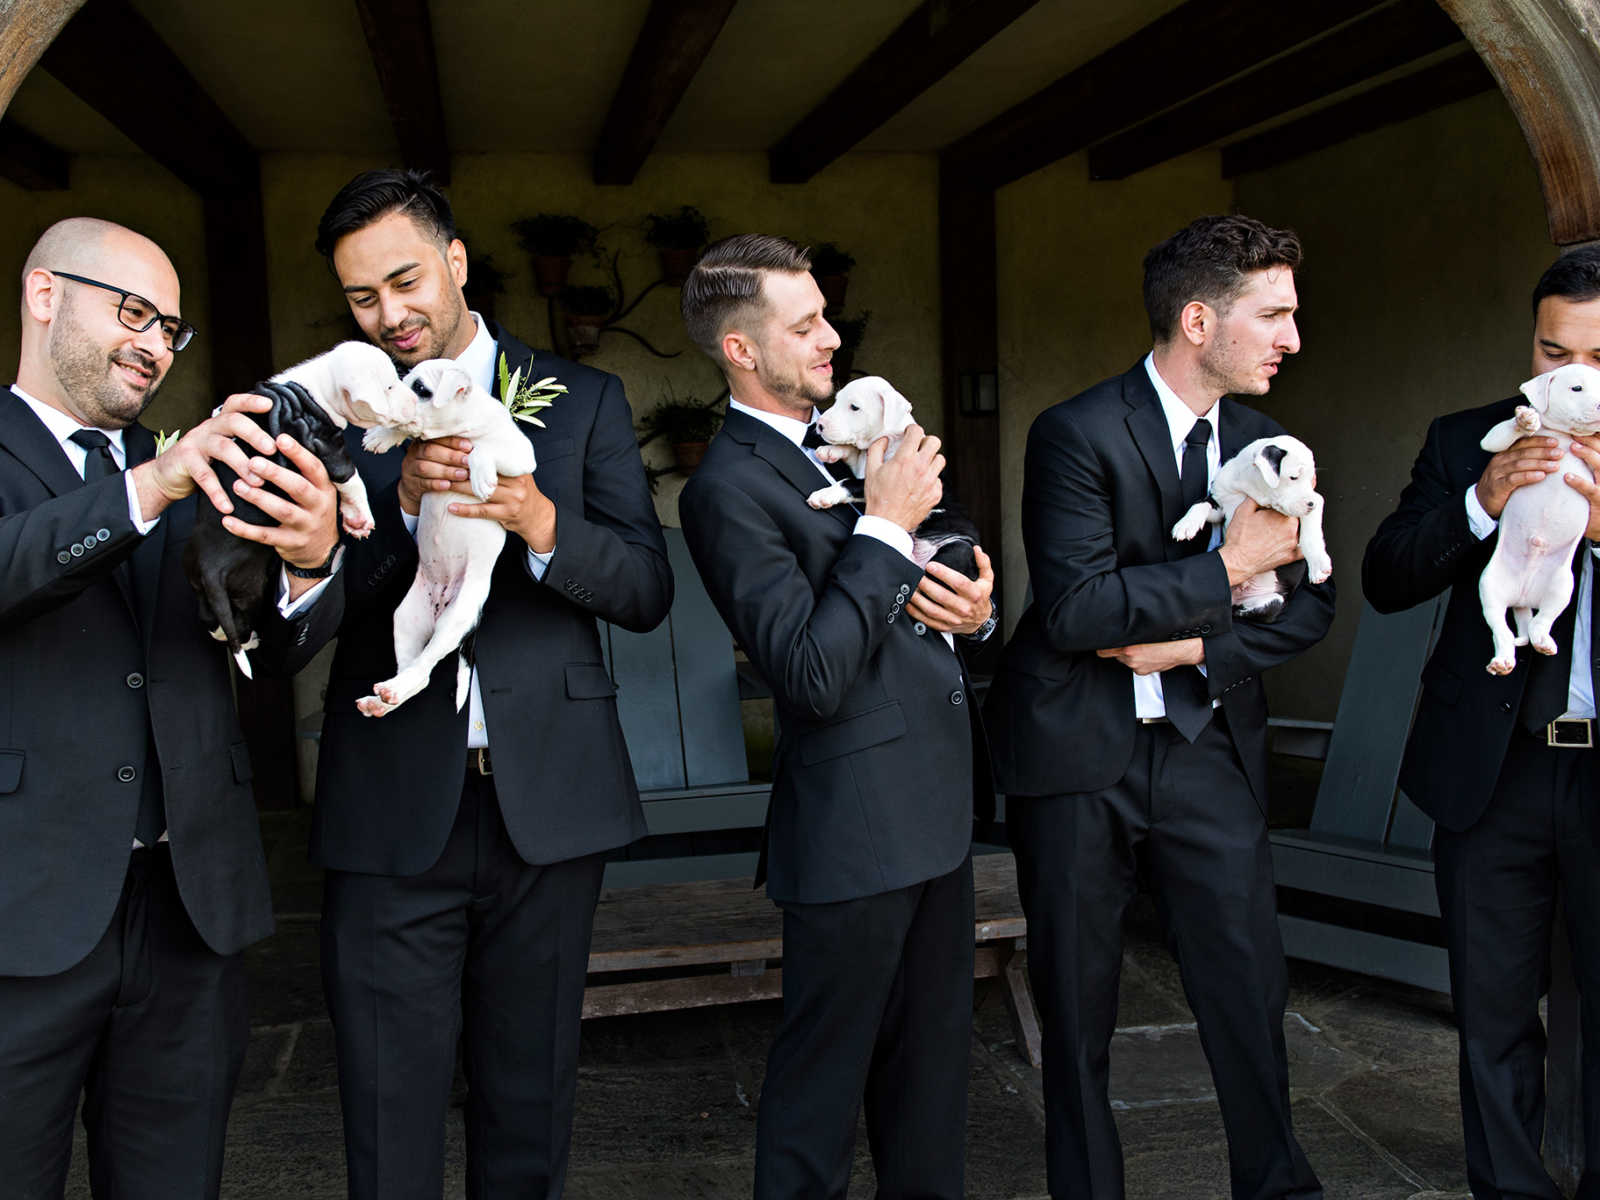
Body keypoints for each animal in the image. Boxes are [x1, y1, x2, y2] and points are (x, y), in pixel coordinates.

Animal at [182, 340, 419, 678]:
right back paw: (251, 640)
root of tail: (209, 570)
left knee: (211, 621)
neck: (318, 385)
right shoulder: (326, 446)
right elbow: (351, 479)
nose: (415, 401)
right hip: (250, 586)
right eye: (388, 387)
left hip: (200, 586)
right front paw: (361, 516)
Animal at [353, 356, 534, 713]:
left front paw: (481, 475)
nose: (386, 397)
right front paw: (382, 435)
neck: (457, 427)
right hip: (405, 619)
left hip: (456, 618)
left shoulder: (521, 454)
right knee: (416, 672)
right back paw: (383, 698)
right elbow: (404, 430)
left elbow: (480, 448)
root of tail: (440, 604)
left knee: (424, 666)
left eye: (420, 388)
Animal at [806, 376, 979, 582]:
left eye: (854, 407)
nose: (820, 425)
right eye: (836, 400)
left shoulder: (875, 480)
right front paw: (829, 451)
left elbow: (849, 482)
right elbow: (853, 453)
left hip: (958, 550)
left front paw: (824, 495)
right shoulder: (862, 465)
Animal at [1171, 435, 1331, 620]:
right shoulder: (1219, 500)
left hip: (1274, 601)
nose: (1310, 504)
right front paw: (1185, 525)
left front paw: (1318, 565)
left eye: (1311, 480)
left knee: (1246, 612)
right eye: (1293, 477)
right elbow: (1200, 504)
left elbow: (1311, 533)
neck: (1251, 489)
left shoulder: (1317, 500)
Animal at [1465, 356, 1600, 678]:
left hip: (1561, 587)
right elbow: (1499, 436)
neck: (1564, 436)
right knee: (1500, 630)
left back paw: (1542, 641)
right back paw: (1503, 660)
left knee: (1542, 621)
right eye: (1577, 388)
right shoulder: (1494, 440)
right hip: (1490, 586)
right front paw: (1525, 420)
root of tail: (1523, 599)